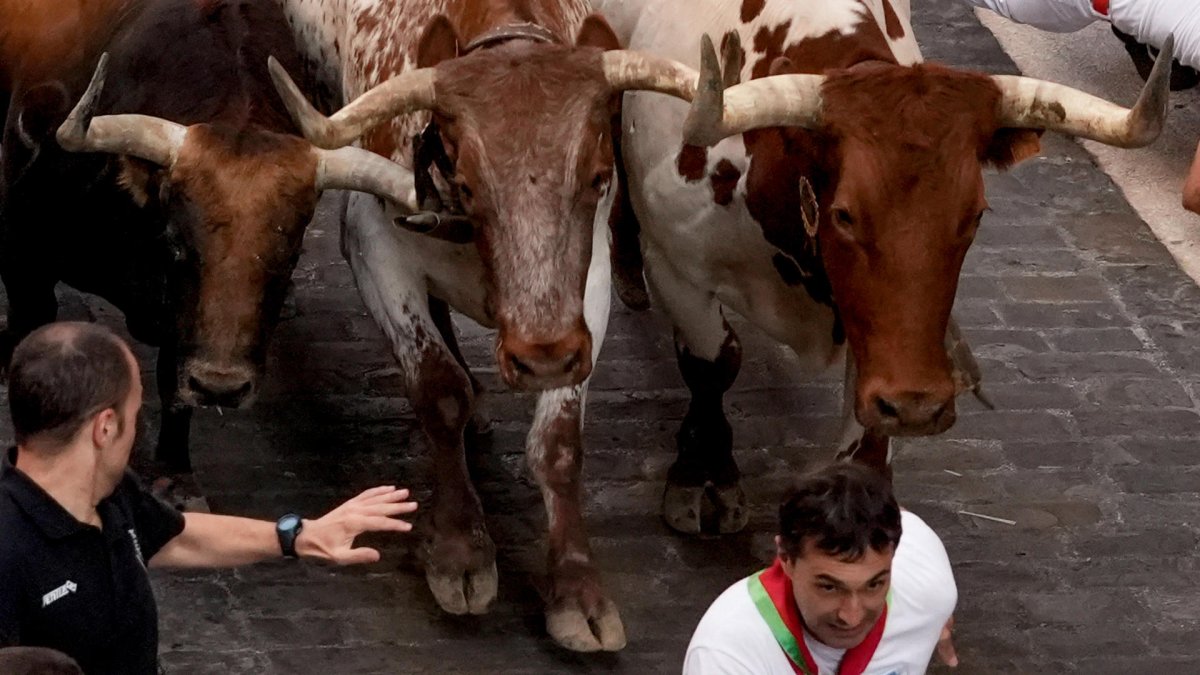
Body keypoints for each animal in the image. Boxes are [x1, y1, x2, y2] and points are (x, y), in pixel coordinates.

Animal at [0, 1, 422, 482]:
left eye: (290, 256)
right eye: (174, 242)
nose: (222, 387)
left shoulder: (182, 329)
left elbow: (174, 383)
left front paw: (173, 467)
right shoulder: (24, 260)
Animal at [267, 0, 700, 648]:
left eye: (600, 177)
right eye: (469, 185)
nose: (540, 358)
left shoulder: (588, 290)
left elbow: (559, 442)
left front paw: (578, 591)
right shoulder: (372, 246)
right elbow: (438, 391)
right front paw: (460, 549)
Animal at [595, 0, 1166, 533]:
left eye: (975, 214)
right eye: (845, 214)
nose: (917, 407)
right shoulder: (677, 268)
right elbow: (712, 364)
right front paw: (704, 476)